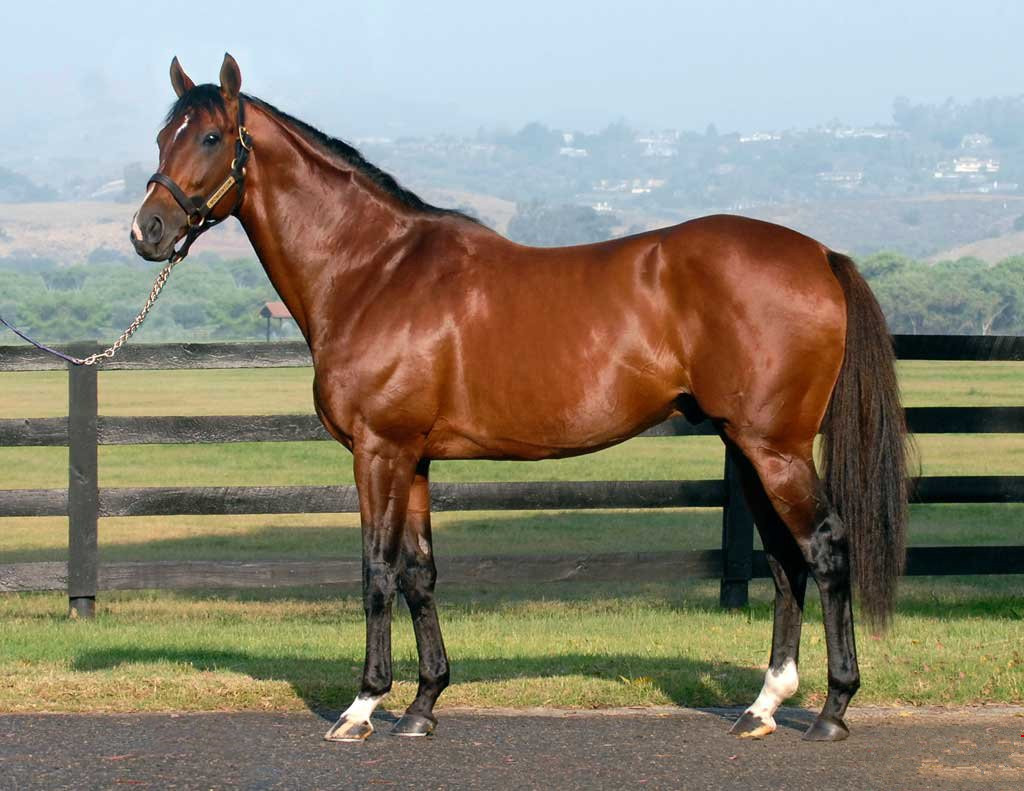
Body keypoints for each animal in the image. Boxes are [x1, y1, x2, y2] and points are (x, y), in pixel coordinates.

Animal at [131, 54, 910, 743]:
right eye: (162, 136)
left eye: (209, 137)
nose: (147, 231)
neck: (374, 271)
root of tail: (819, 256)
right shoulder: (414, 459)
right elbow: (419, 573)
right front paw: (423, 705)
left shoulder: (378, 452)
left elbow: (376, 572)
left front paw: (362, 707)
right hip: (747, 446)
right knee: (784, 559)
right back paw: (764, 705)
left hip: (774, 448)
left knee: (825, 548)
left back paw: (833, 710)